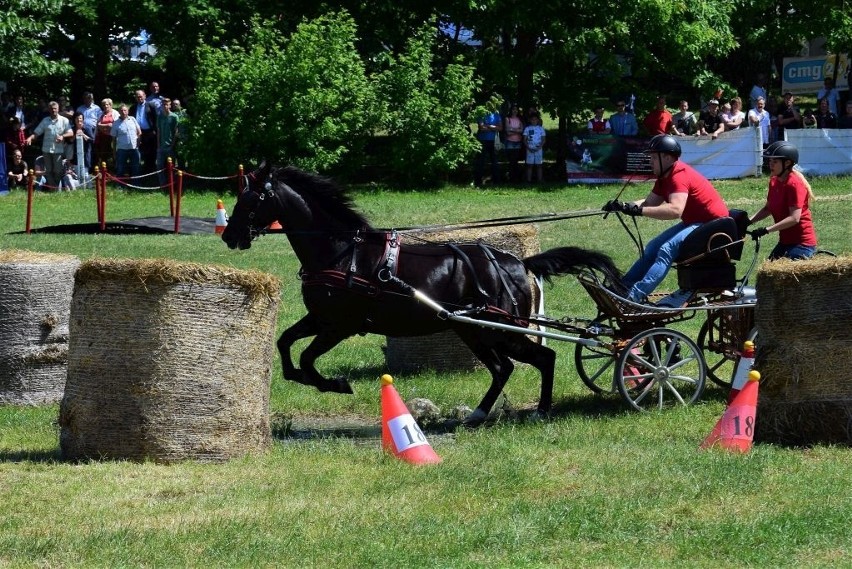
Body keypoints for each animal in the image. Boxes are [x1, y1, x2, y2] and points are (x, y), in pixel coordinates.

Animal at [221, 162, 620, 424]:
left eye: (251, 199)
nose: (229, 236)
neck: (341, 252)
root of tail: (519, 263)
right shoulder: (321, 319)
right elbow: (285, 345)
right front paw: (308, 379)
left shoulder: (340, 326)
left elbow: (305, 358)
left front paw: (335, 384)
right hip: (473, 330)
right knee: (503, 367)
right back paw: (478, 414)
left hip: (496, 330)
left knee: (542, 357)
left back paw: (540, 411)